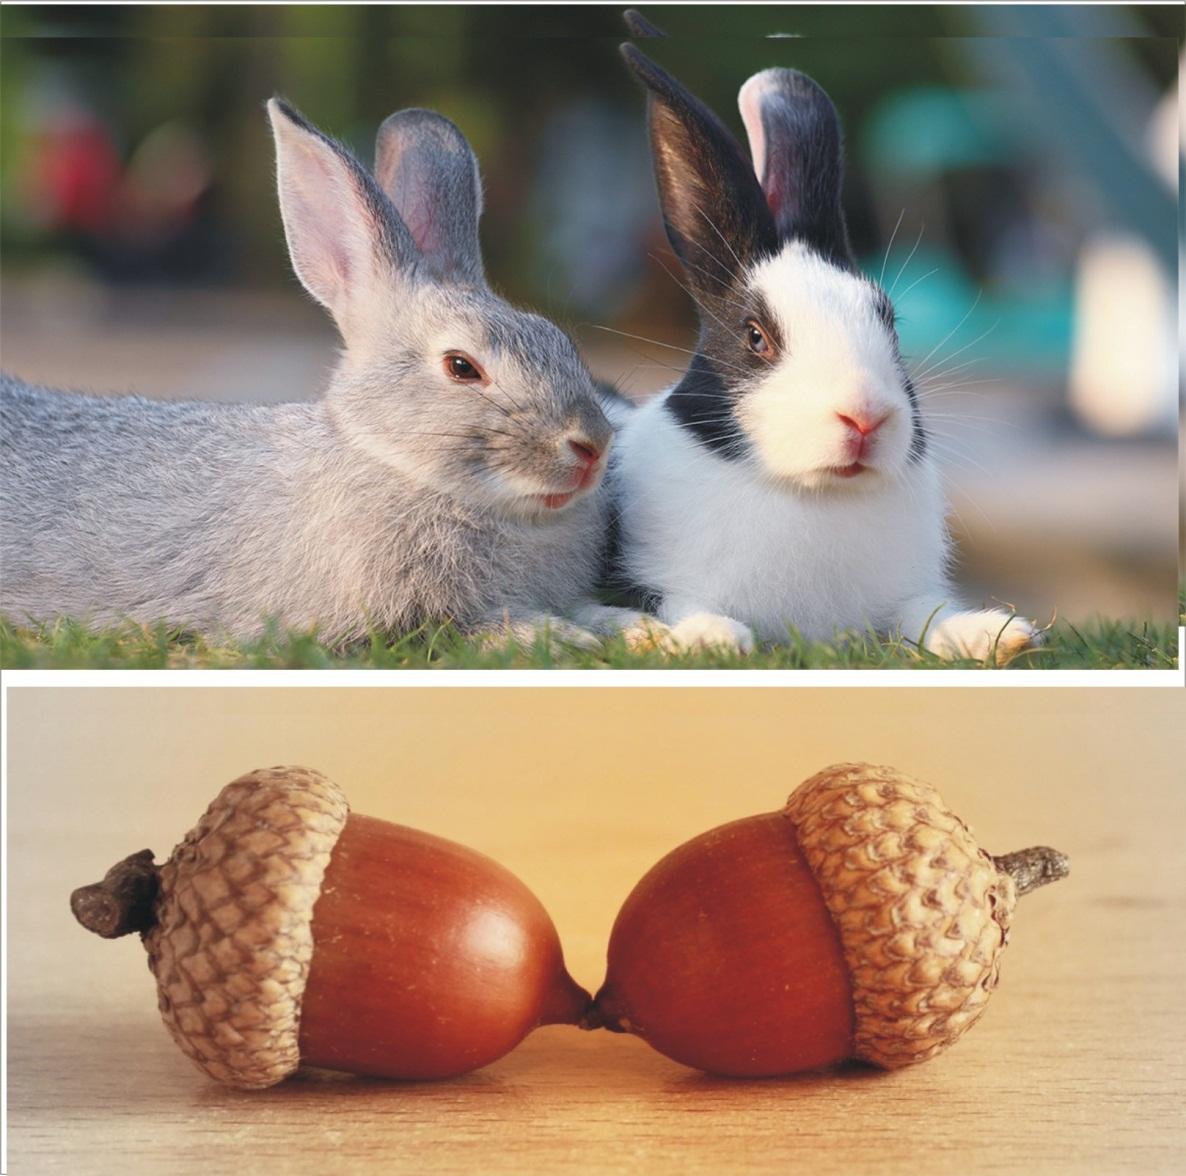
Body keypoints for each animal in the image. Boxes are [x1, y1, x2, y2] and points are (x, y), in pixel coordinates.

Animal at [1, 99, 661, 650]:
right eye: (462, 367)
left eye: (561, 341)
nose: (591, 447)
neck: (394, 463)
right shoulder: (391, 614)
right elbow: (461, 625)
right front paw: (554, 637)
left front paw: (634, 628)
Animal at [605, 46, 1041, 663]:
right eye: (756, 337)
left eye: (890, 322)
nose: (864, 418)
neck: (813, 494)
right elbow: (672, 603)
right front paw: (712, 637)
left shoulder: (899, 601)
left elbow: (925, 615)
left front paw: (998, 635)